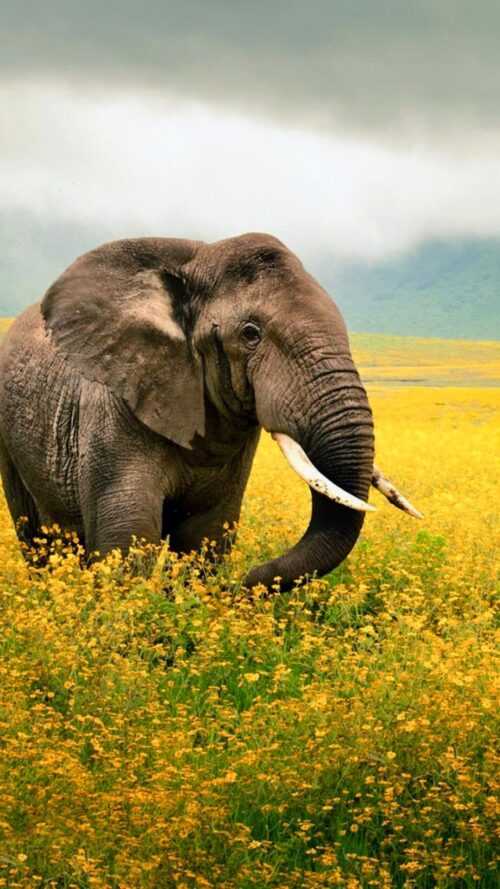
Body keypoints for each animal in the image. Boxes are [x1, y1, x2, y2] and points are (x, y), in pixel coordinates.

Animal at [0, 233, 420, 590]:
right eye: (250, 334)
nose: (245, 583)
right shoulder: (113, 407)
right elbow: (128, 538)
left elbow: (204, 534)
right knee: (37, 539)